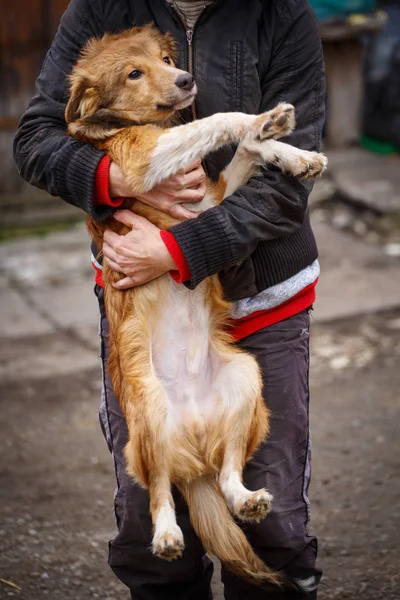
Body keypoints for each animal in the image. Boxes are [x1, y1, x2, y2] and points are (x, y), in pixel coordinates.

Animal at [65, 25, 326, 588]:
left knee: (228, 474)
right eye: (134, 73)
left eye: (165, 59)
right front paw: (260, 122)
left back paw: (246, 501)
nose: (186, 79)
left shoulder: (209, 205)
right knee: (161, 491)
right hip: (148, 415)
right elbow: (218, 121)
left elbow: (247, 151)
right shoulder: (145, 164)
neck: (133, 124)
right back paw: (166, 535)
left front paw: (289, 150)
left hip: (246, 381)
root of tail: (193, 449)